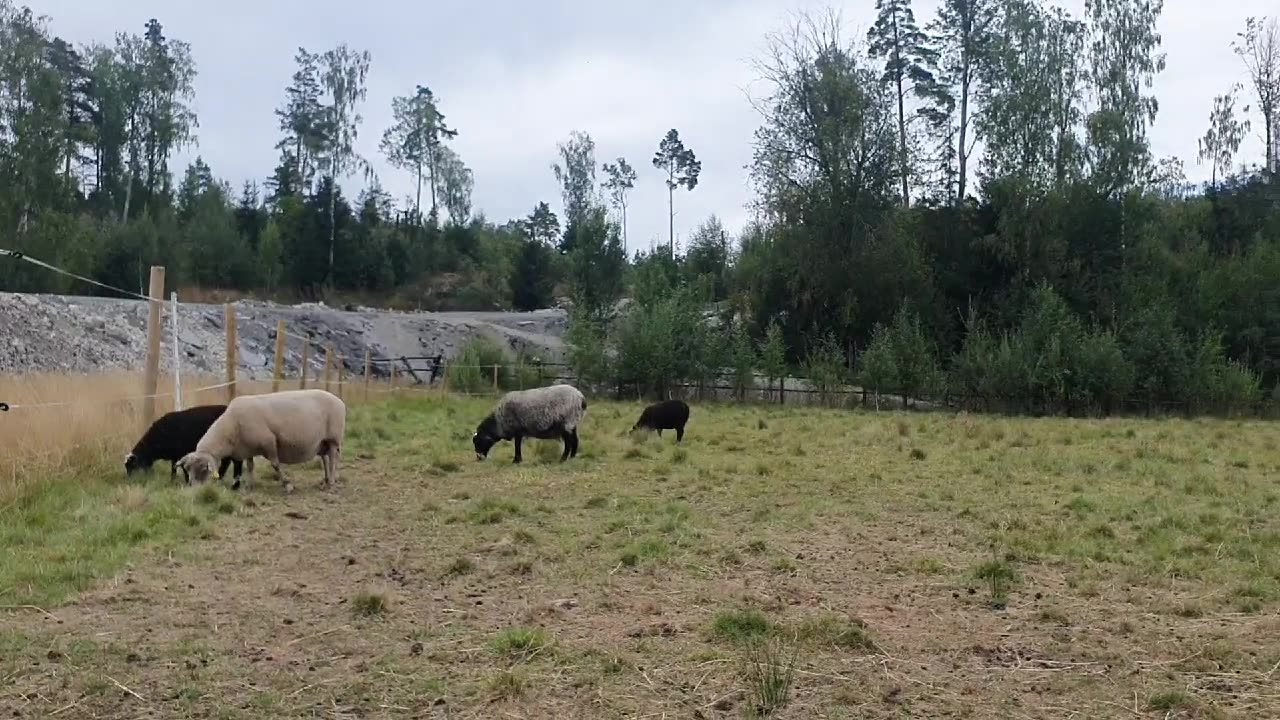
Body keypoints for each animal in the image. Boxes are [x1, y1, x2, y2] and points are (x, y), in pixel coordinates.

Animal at [177, 389, 346, 494]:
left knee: (333, 458)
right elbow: (250, 467)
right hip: (322, 441)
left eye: (203, 469)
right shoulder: (247, 448)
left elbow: (275, 464)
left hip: (333, 438)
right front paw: (249, 486)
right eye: (188, 470)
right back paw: (325, 480)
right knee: (325, 458)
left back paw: (331, 482)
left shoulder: (268, 441)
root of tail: (339, 400)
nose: (194, 492)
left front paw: (287, 485)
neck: (231, 426)